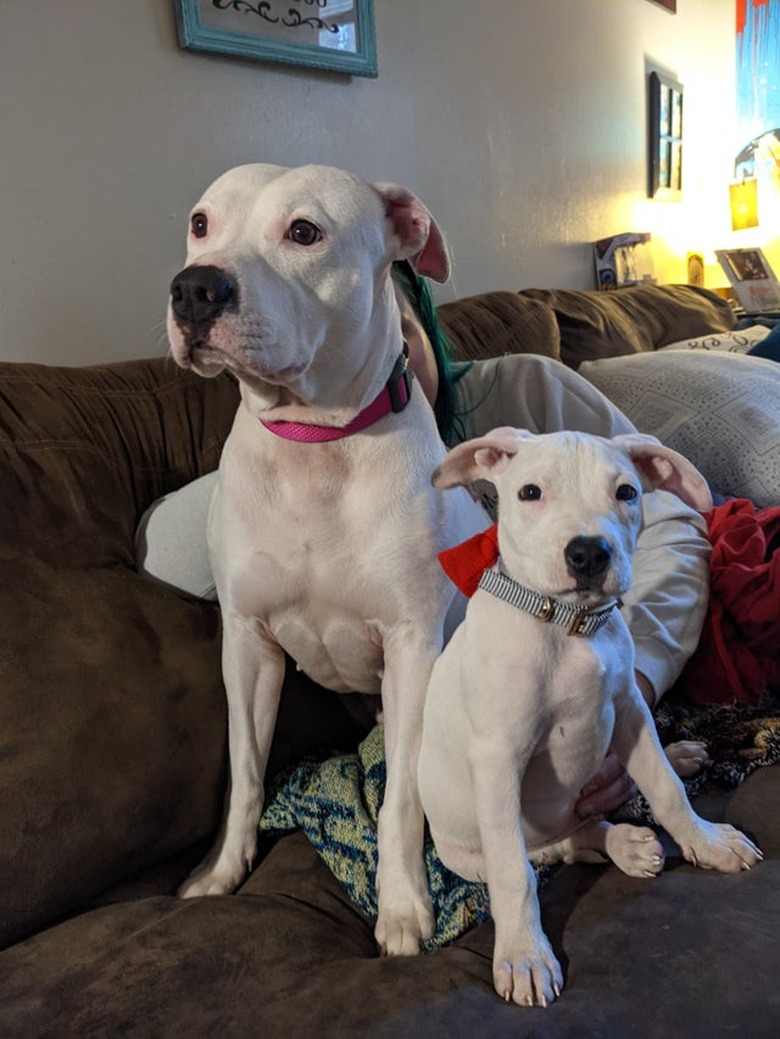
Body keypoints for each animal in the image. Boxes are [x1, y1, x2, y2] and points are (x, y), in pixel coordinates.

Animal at [167, 164, 486, 955]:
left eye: (304, 232)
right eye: (200, 223)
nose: (194, 288)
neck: (314, 448)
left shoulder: (411, 648)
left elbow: (401, 797)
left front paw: (403, 908)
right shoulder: (248, 643)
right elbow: (247, 771)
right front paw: (221, 872)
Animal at [417, 428, 764, 1005]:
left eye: (626, 492)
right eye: (529, 493)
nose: (588, 553)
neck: (567, 624)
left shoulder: (628, 710)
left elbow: (665, 789)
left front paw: (706, 841)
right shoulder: (498, 759)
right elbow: (514, 874)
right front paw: (524, 954)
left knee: (579, 828)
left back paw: (668, 775)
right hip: (464, 849)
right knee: (545, 852)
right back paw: (621, 842)